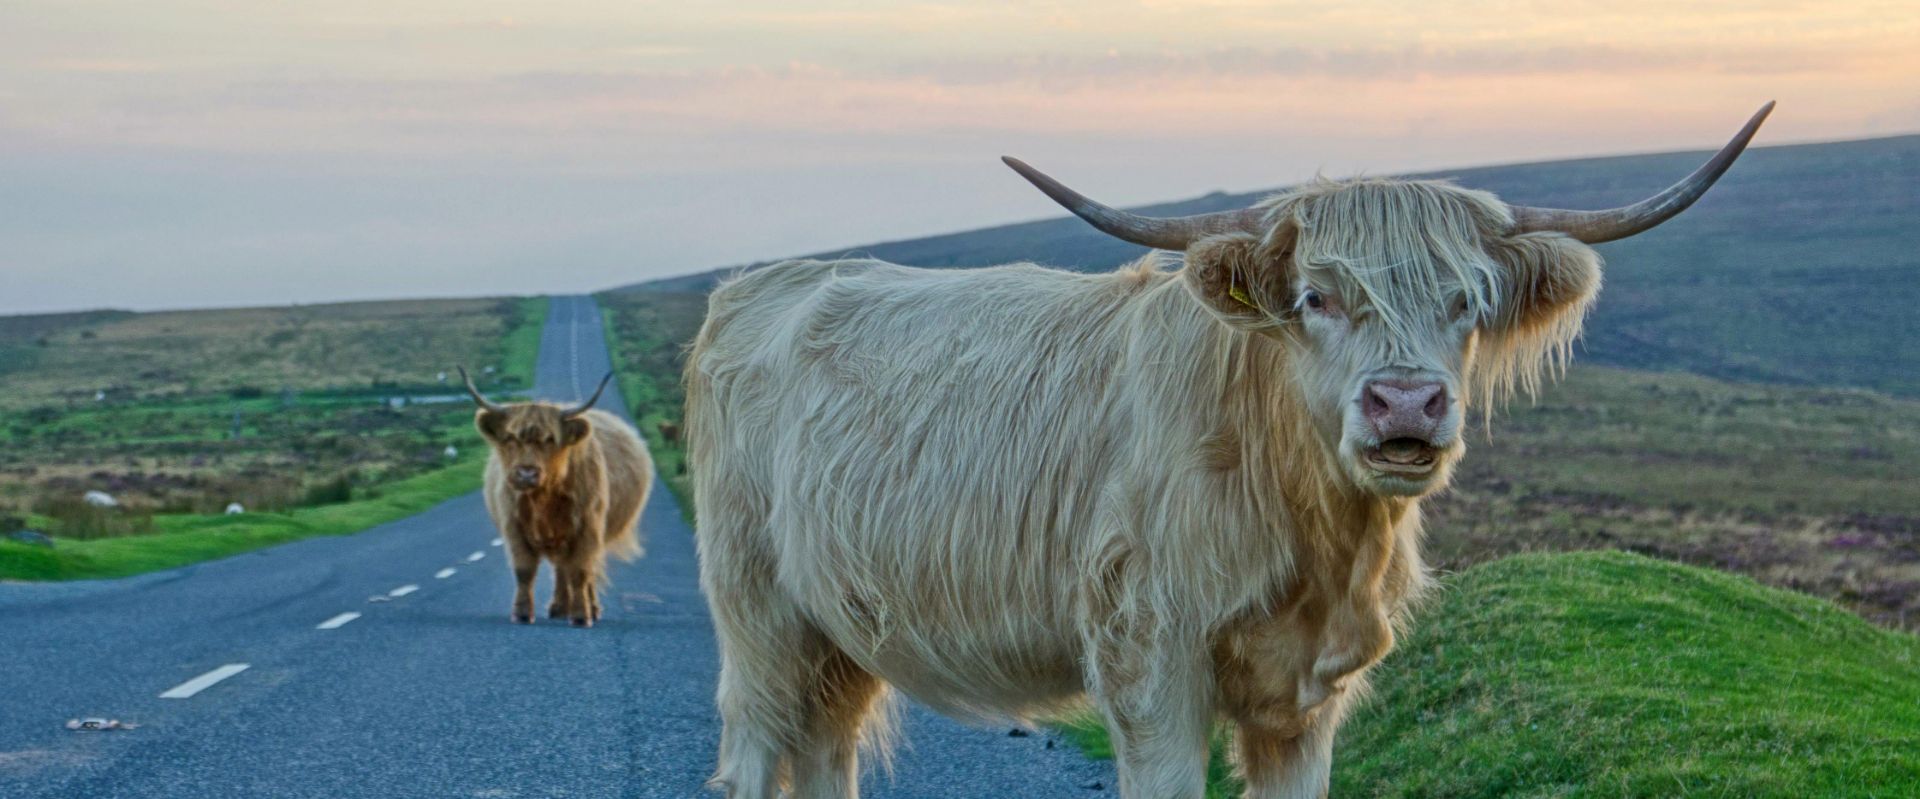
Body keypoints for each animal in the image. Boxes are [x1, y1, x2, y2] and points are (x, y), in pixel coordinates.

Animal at [460, 370, 656, 626]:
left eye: (550, 440)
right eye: (511, 438)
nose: (526, 473)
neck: (544, 499)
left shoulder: (588, 528)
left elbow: (581, 572)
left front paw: (582, 615)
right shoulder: (514, 527)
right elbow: (524, 571)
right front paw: (522, 613)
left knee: (583, 569)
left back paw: (589, 607)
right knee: (562, 568)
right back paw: (560, 608)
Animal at [687, 106, 1766, 799]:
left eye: (1467, 300)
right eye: (1317, 296)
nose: (1405, 403)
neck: (1311, 537)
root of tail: (760, 282)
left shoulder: (1306, 703)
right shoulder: (1149, 663)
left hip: (839, 628)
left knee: (824, 750)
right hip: (757, 611)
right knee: (755, 751)